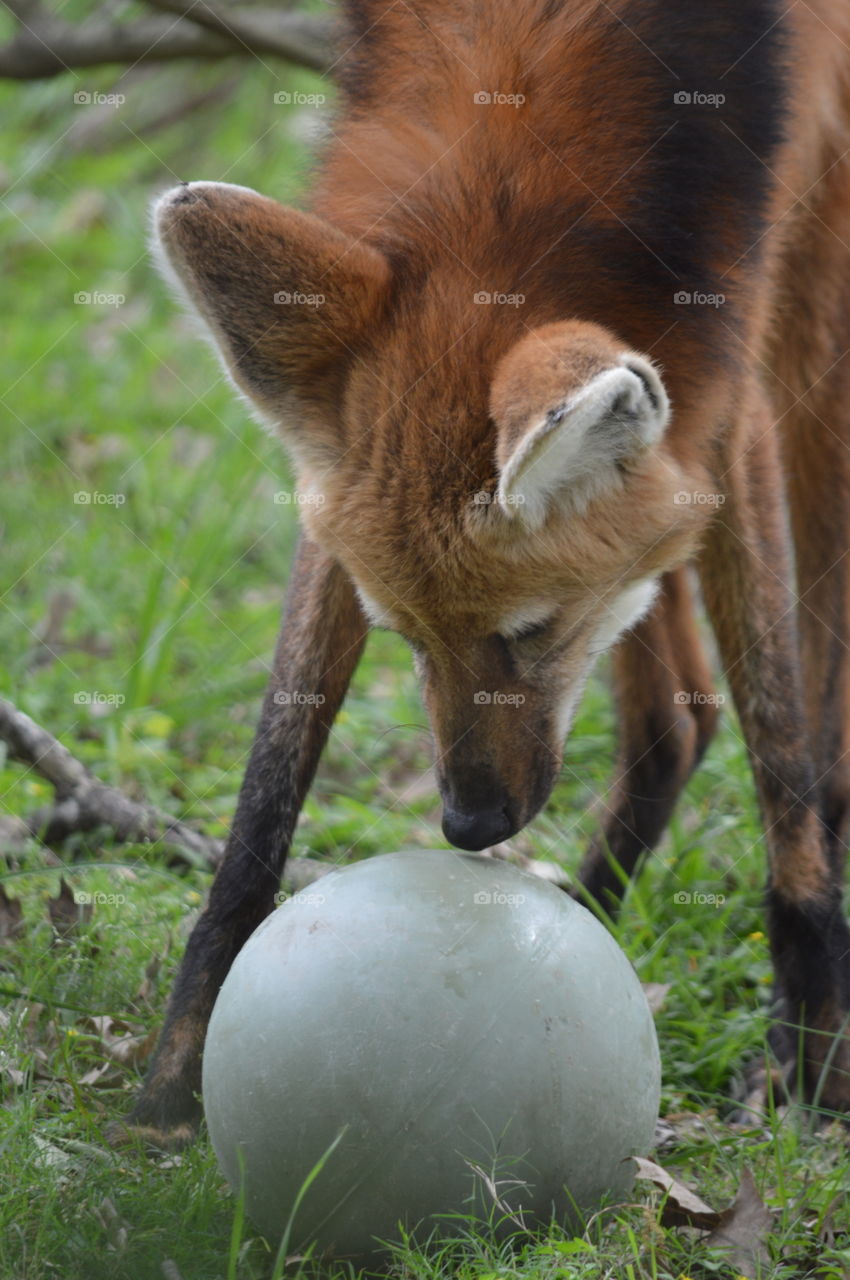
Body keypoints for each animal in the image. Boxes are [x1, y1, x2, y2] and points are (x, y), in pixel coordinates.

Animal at [121, 0, 850, 1147]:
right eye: (405, 635)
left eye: (530, 631)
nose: (466, 827)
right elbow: (266, 791)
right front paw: (172, 1084)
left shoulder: (730, 364)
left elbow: (783, 759)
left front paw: (813, 1067)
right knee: (675, 716)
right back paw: (591, 907)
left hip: (808, 314)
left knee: (807, 717)